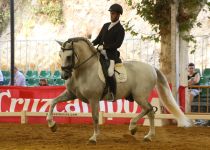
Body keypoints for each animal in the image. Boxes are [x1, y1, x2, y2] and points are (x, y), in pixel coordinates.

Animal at [46, 37, 193, 144]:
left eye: (69, 56)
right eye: (60, 55)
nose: (64, 75)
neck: (83, 71)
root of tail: (152, 68)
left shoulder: (94, 99)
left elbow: (95, 117)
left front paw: (94, 137)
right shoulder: (71, 94)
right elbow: (53, 102)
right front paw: (52, 125)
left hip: (139, 96)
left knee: (149, 110)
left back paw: (138, 130)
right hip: (138, 96)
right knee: (150, 111)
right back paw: (143, 133)